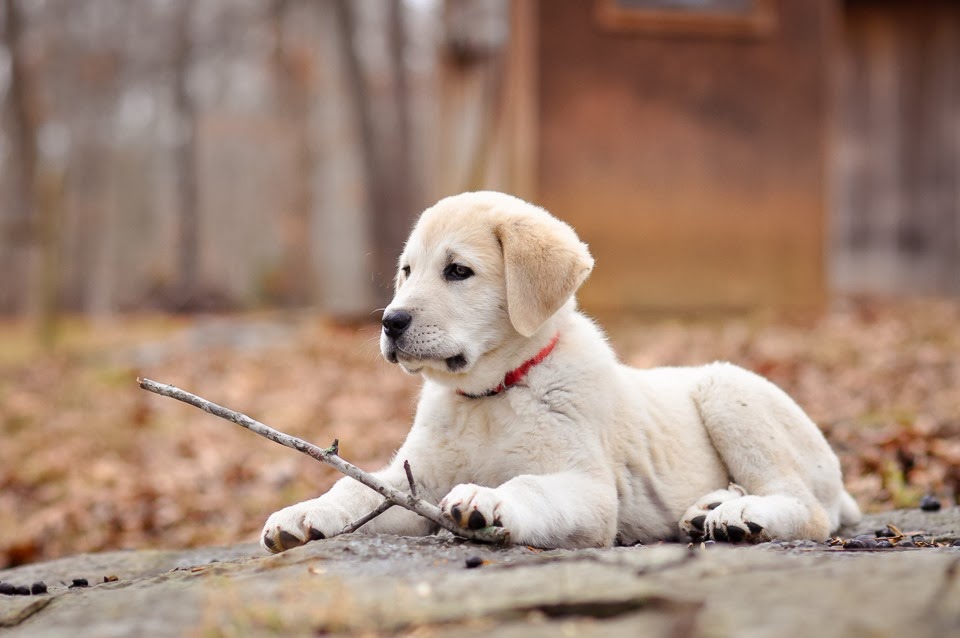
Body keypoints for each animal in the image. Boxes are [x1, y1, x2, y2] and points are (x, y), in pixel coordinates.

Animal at [258, 191, 860, 556]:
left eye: (458, 271)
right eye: (407, 270)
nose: (390, 321)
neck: (490, 397)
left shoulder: (590, 493)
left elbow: (529, 484)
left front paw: (488, 501)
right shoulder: (413, 485)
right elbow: (354, 489)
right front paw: (304, 514)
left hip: (727, 390)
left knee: (806, 508)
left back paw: (741, 516)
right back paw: (709, 509)